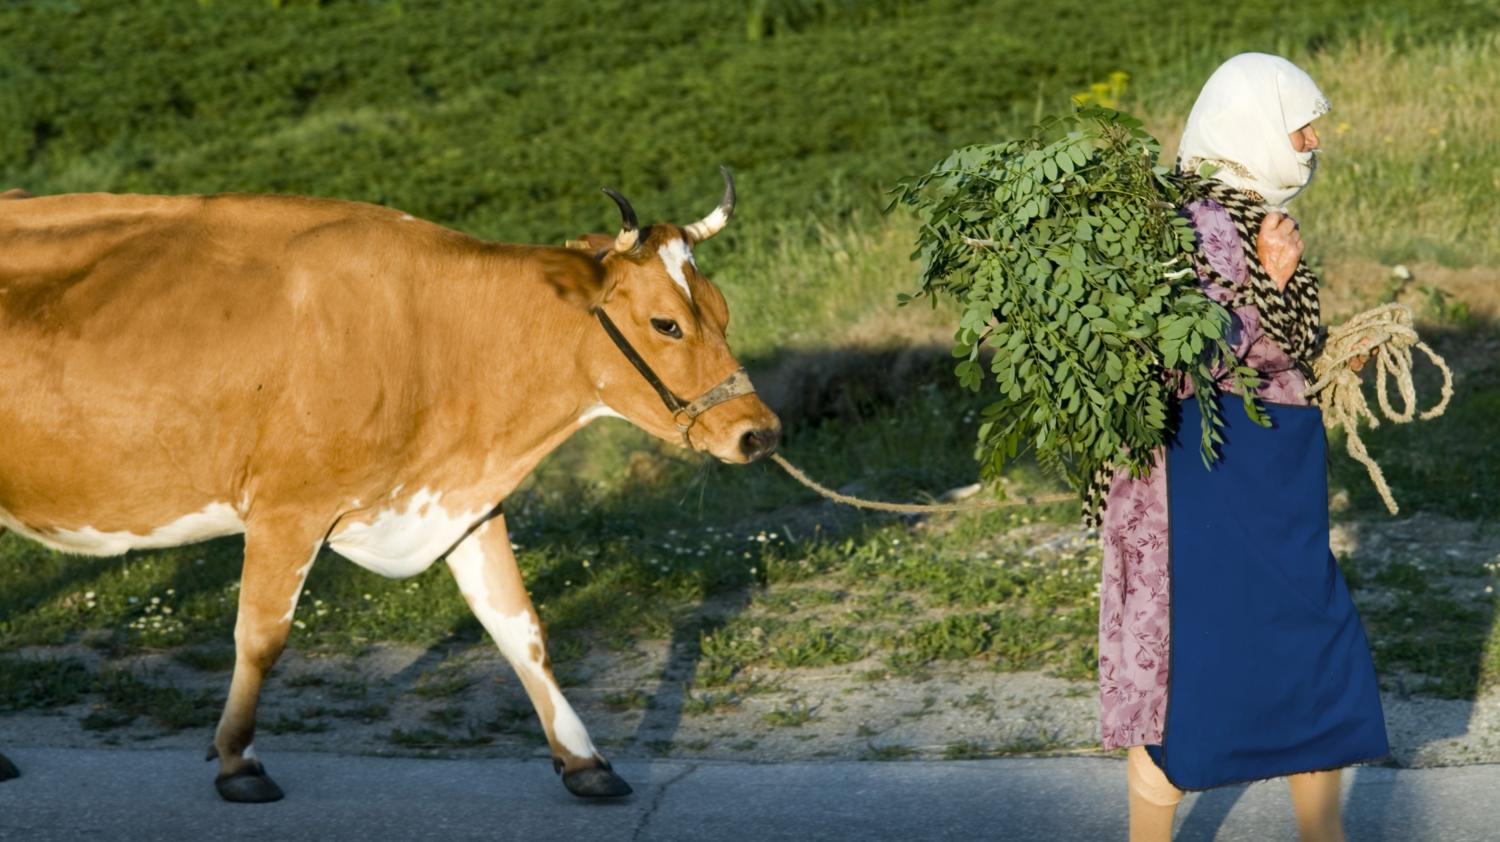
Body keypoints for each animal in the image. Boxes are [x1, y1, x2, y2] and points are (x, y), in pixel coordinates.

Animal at [0, 168, 780, 798]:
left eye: (723, 312)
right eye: (665, 324)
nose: (759, 432)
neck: (433, 339)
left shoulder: (463, 500)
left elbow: (520, 627)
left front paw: (585, 762)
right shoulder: (288, 509)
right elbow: (261, 638)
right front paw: (238, 763)